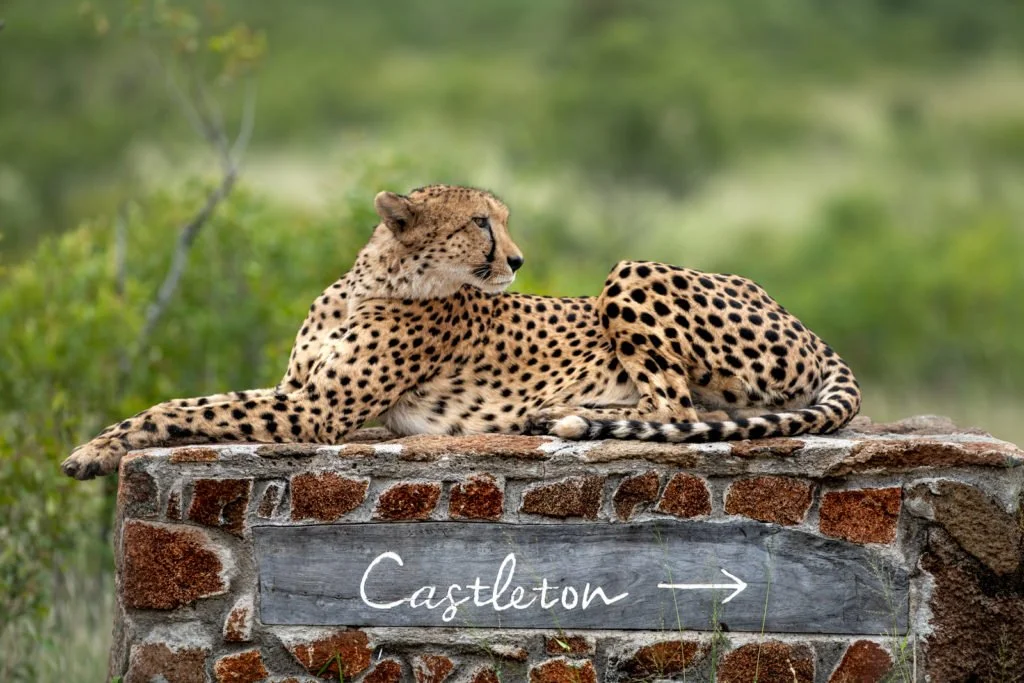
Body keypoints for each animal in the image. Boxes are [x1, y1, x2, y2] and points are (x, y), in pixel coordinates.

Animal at [62, 184, 861, 480]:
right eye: (482, 221)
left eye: (503, 219)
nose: (518, 258)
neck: (376, 282)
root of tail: (807, 324)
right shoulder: (298, 393)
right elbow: (192, 402)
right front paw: (99, 446)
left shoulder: (314, 410)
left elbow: (183, 405)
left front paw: (93, 450)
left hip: (632, 273)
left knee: (676, 406)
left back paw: (562, 411)